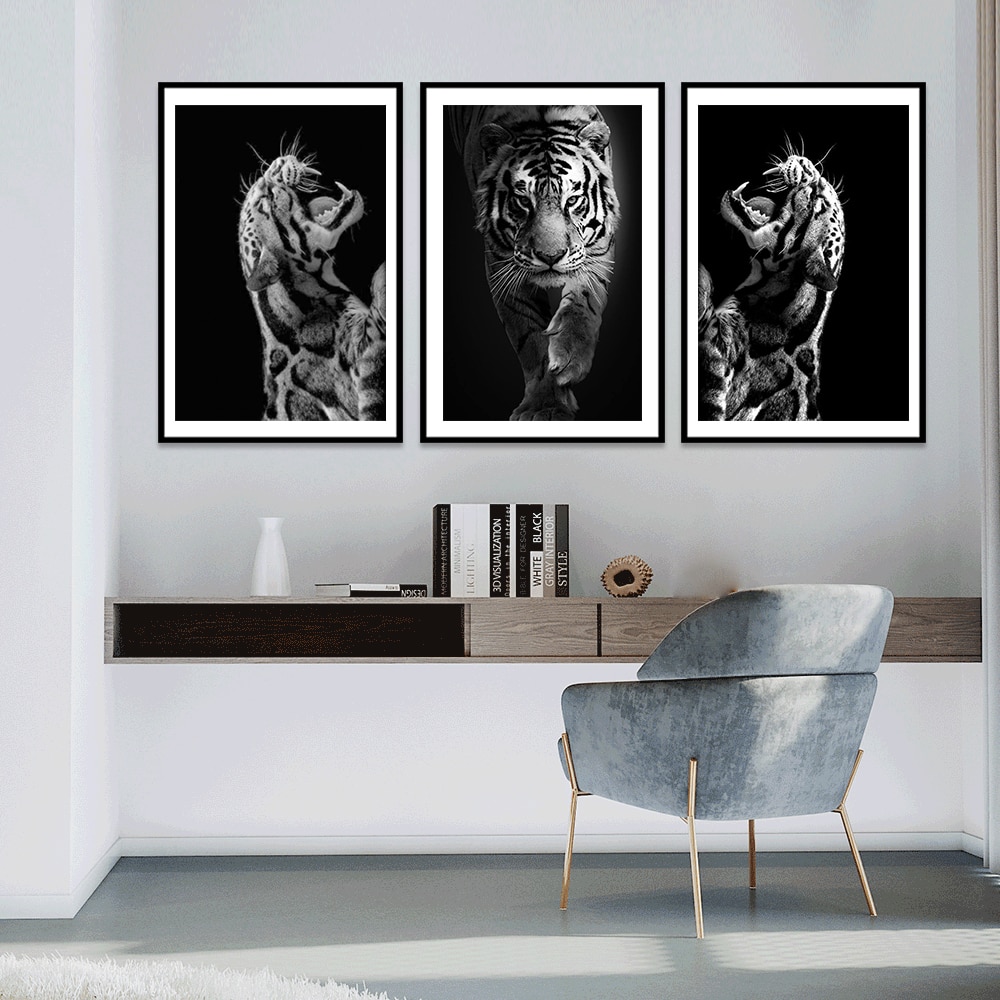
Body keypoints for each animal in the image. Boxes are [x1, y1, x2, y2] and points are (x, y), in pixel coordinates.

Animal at [449, 106, 620, 421]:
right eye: (522, 201)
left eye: (572, 200)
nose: (550, 257)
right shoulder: (502, 263)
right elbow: (528, 335)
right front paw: (546, 406)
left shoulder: (598, 246)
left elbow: (584, 299)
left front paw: (570, 358)